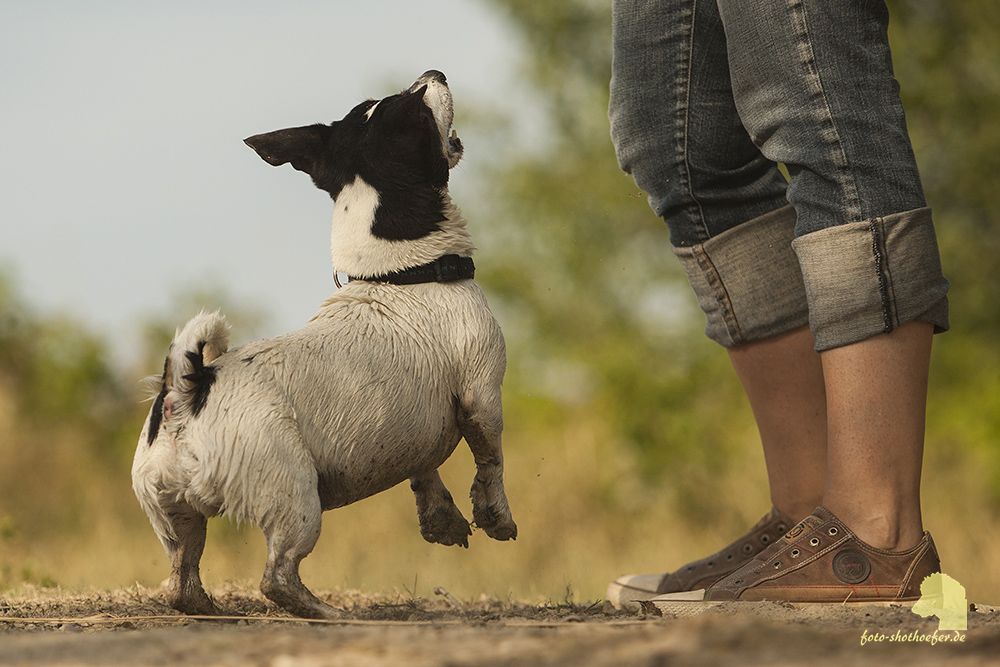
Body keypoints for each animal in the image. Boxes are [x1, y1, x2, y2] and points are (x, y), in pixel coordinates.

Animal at [132, 70, 516, 620]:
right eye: (418, 107)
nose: (433, 74)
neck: (399, 274)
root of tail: (188, 390)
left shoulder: (420, 426)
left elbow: (425, 472)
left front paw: (440, 518)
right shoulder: (481, 398)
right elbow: (491, 461)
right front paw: (496, 516)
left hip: (175, 517)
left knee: (182, 576)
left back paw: (206, 605)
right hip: (297, 505)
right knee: (277, 578)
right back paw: (326, 612)